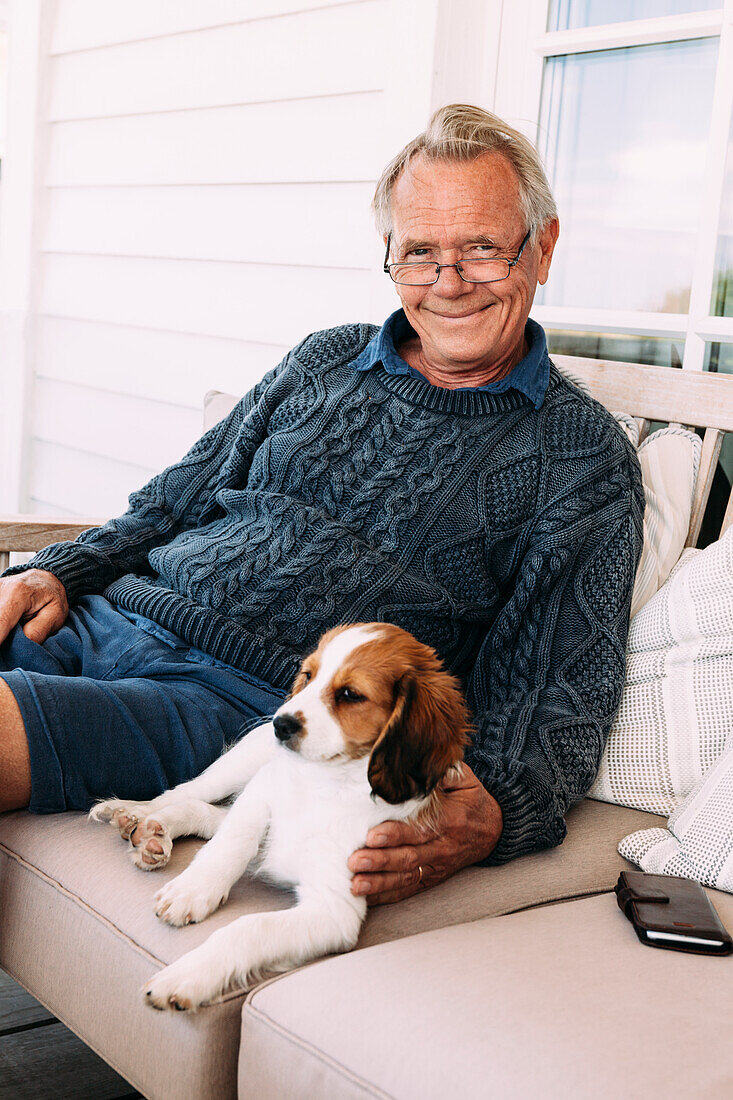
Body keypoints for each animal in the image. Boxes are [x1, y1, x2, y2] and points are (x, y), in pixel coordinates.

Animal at [93, 624, 468, 1007]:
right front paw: (191, 890)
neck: (326, 784)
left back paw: (153, 835)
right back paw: (131, 813)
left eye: (350, 694)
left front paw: (186, 977)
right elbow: (231, 843)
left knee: (206, 813)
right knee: (186, 794)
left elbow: (249, 927)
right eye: (309, 675)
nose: (280, 723)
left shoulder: (334, 911)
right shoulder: (264, 788)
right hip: (241, 764)